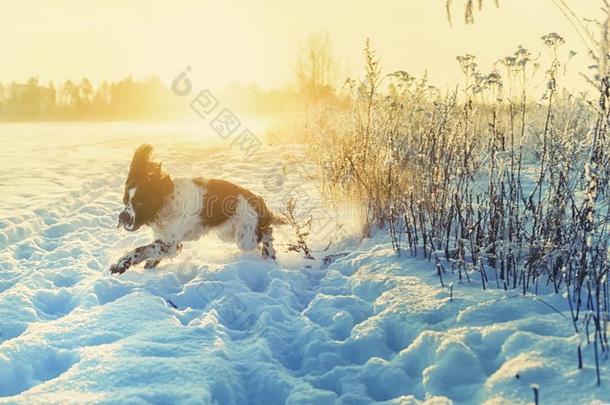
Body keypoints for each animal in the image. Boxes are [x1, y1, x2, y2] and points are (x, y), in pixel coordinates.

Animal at [109, 144, 280, 274]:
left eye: (140, 203)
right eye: (125, 200)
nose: (122, 218)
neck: (165, 203)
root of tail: (257, 198)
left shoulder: (169, 244)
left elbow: (141, 249)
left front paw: (121, 264)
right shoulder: (169, 242)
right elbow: (152, 252)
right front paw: (149, 264)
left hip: (245, 239)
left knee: (268, 232)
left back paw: (269, 253)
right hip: (229, 233)